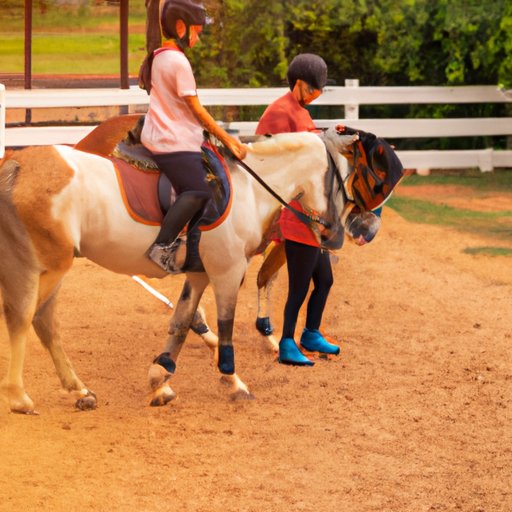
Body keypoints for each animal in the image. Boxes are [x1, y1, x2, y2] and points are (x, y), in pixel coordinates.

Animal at [0, 116, 372, 413]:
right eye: (347, 180)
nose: (341, 233)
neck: (251, 189)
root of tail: (18, 164)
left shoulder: (198, 274)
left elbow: (180, 322)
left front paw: (160, 380)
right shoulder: (227, 272)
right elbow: (225, 326)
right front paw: (234, 382)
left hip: (47, 266)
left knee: (43, 321)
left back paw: (79, 390)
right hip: (48, 266)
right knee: (24, 315)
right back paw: (19, 397)